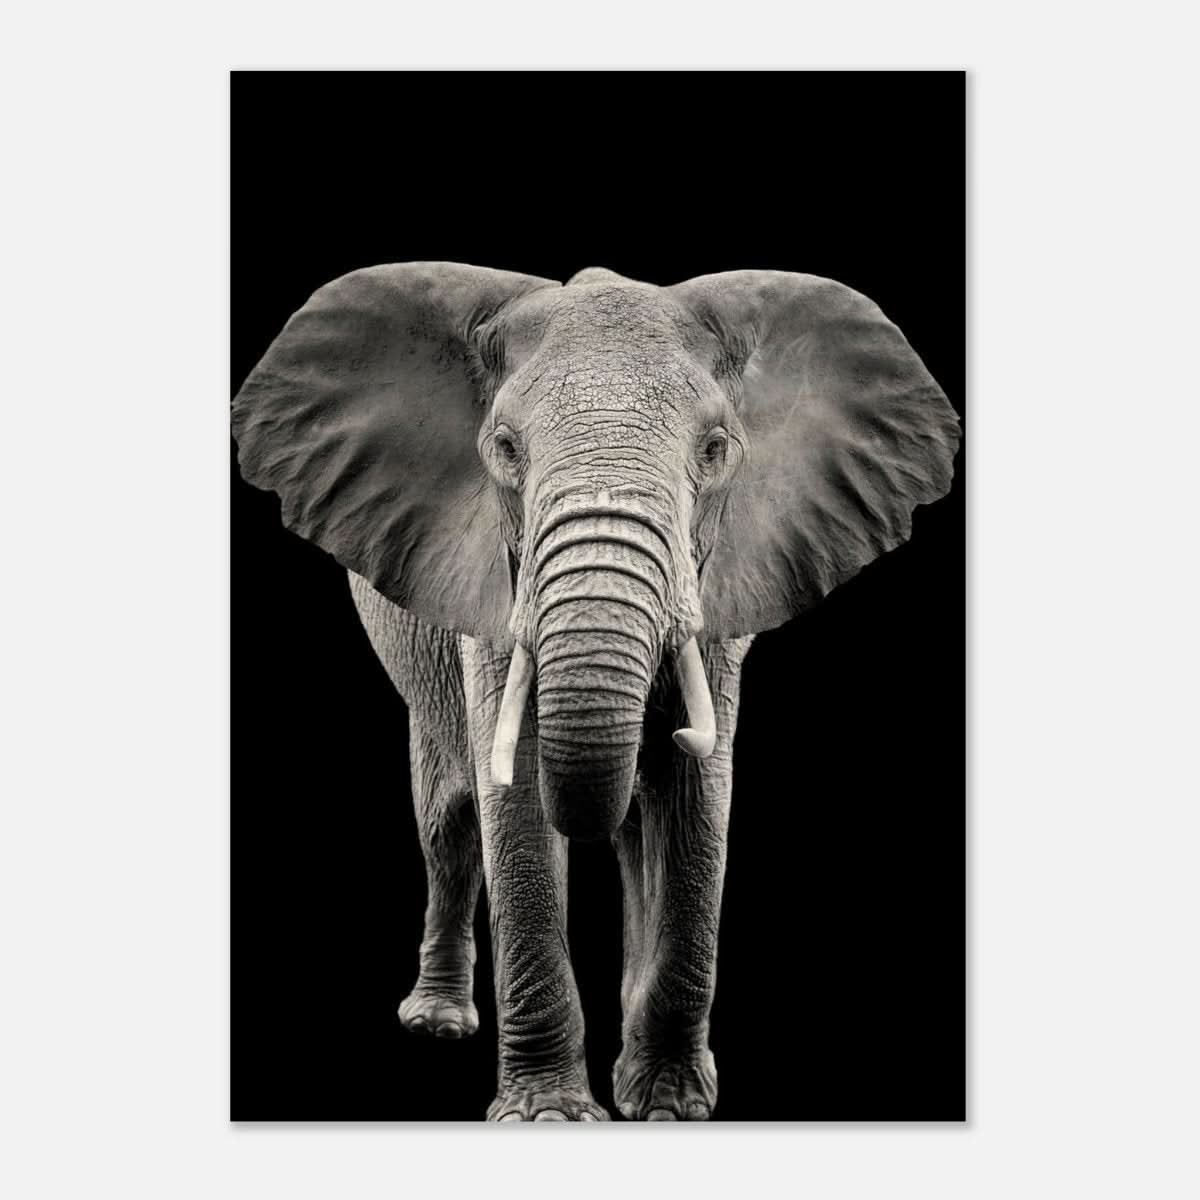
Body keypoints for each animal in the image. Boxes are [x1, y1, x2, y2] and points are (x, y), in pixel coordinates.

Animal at [231, 262, 960, 1121]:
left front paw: (670, 1107)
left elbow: (696, 798)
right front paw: (549, 1115)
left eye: (715, 449)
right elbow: (513, 796)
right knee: (447, 822)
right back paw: (438, 1023)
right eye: (505, 448)